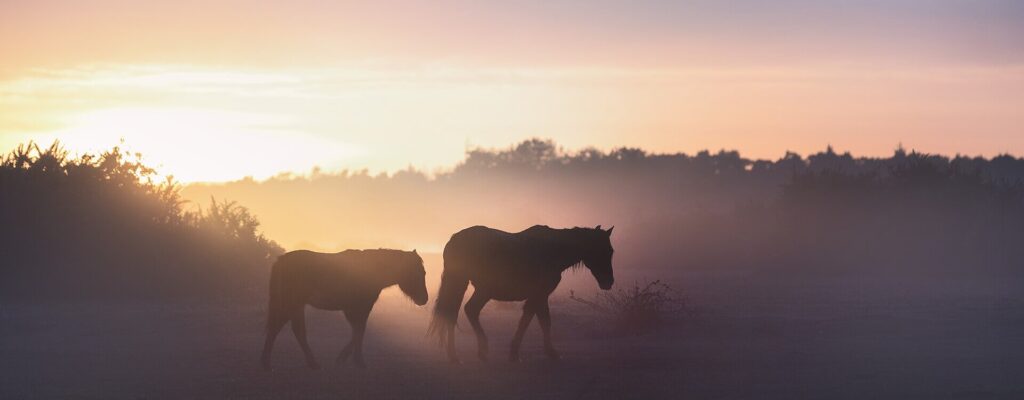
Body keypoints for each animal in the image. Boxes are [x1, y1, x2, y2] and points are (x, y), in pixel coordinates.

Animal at [260, 248, 428, 369]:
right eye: (418, 272)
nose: (424, 299)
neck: (368, 269)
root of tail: (280, 261)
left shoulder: (355, 309)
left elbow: (357, 331)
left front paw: (345, 358)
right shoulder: (358, 308)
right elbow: (359, 331)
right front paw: (356, 361)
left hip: (296, 305)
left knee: (293, 330)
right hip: (292, 303)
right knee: (282, 328)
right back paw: (270, 363)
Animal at [429, 225, 615, 363]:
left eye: (610, 251)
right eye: (603, 250)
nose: (609, 282)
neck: (552, 250)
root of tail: (454, 240)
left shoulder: (538, 296)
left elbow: (535, 321)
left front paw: (526, 352)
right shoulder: (539, 295)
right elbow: (536, 321)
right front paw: (543, 352)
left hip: (471, 286)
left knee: (458, 312)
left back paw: (460, 354)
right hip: (476, 288)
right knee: (465, 311)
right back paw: (474, 351)